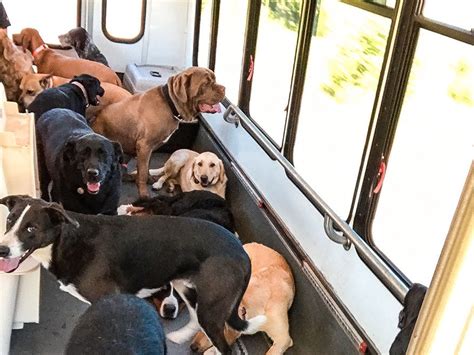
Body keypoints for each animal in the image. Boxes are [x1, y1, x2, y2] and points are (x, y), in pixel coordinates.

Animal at [93, 66, 227, 197]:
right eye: (206, 83)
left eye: (214, 80)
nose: (224, 88)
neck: (170, 104)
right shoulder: (145, 146)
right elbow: (142, 172)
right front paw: (144, 194)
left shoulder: (149, 148)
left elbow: (145, 167)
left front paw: (149, 179)